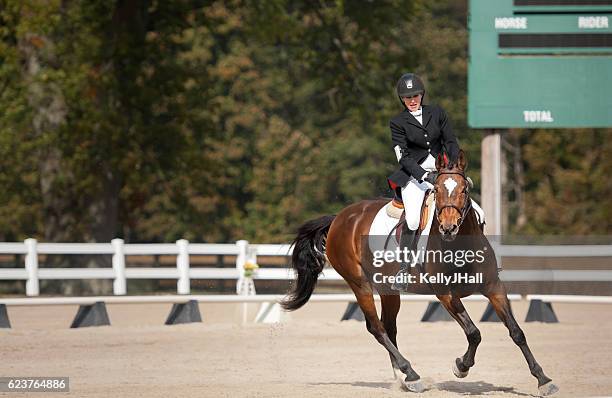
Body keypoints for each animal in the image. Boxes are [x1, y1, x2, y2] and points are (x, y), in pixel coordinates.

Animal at [282, 151, 560, 396]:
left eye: (464, 190)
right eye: (436, 190)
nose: (448, 228)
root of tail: (341, 217)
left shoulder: (494, 287)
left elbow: (516, 331)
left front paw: (543, 380)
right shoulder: (445, 294)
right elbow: (474, 332)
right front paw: (461, 367)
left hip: (388, 289)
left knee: (389, 327)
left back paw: (403, 378)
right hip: (359, 284)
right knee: (377, 328)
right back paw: (411, 374)